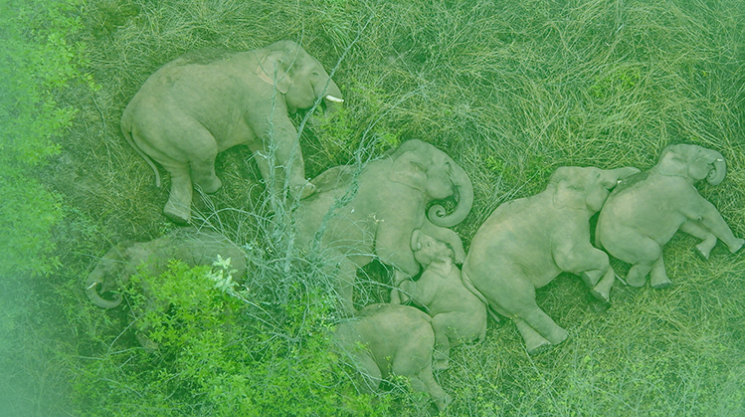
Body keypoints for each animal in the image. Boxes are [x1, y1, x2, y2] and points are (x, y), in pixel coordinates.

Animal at [121, 40, 342, 223]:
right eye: (314, 74)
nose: (314, 114)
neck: (265, 52)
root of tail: (128, 113)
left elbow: (264, 152)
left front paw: (276, 210)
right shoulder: (261, 98)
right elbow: (282, 134)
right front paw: (307, 191)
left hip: (155, 137)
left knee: (177, 170)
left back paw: (177, 217)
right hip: (169, 125)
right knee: (204, 147)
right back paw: (213, 188)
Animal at [396, 229, 488, 368]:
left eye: (428, 244)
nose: (417, 231)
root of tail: (483, 328)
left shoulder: (432, 278)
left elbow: (423, 297)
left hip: (457, 322)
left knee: (439, 323)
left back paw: (438, 363)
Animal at [462, 164, 636, 352]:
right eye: (597, 174)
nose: (635, 173)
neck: (553, 191)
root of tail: (465, 269)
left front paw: (595, 287)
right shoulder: (567, 224)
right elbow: (570, 259)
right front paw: (591, 280)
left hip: (491, 290)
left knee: (514, 313)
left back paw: (539, 347)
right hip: (502, 278)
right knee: (526, 305)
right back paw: (561, 338)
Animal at [592, 143, 744, 286]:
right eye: (699, 151)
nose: (711, 172)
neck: (662, 164)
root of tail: (597, 235)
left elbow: (687, 224)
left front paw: (701, 252)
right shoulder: (680, 189)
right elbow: (707, 212)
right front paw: (739, 246)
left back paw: (661, 284)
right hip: (623, 240)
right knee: (652, 251)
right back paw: (640, 283)